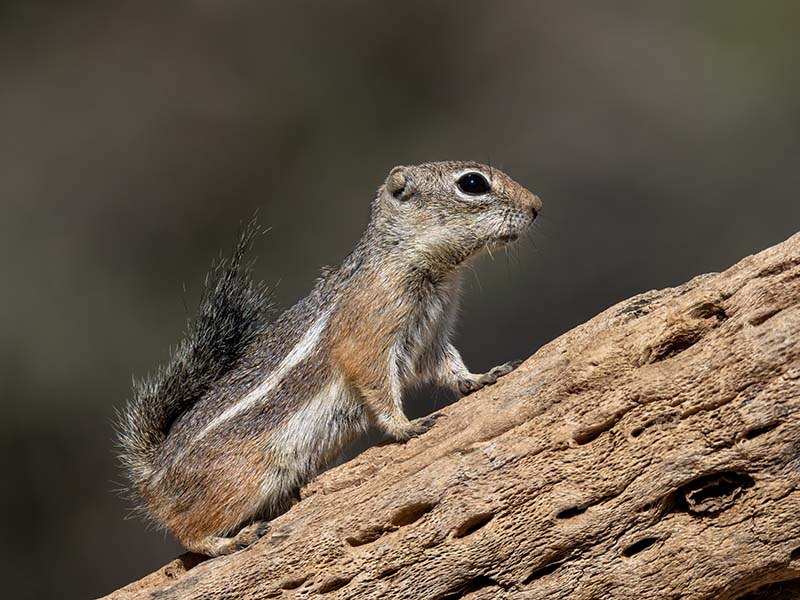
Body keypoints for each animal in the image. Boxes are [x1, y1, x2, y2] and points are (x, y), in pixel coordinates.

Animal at [117, 161, 541, 556]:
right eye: (472, 183)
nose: (536, 206)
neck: (418, 265)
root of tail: (151, 476)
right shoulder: (368, 339)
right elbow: (376, 383)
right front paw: (405, 426)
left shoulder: (431, 339)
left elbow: (450, 367)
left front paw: (482, 377)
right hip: (243, 481)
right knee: (188, 532)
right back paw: (229, 541)